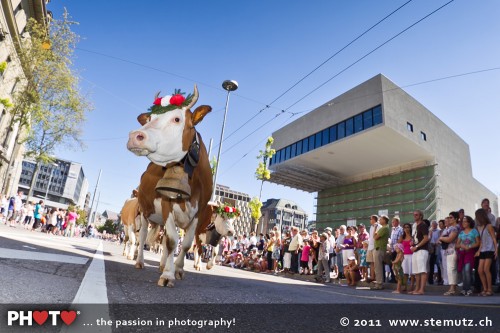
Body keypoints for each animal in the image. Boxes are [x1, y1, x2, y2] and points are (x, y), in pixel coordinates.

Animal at [128, 85, 216, 286]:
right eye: (150, 118)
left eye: (177, 119)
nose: (135, 136)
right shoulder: (167, 202)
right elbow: (172, 241)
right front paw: (168, 275)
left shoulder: (198, 212)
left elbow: (186, 244)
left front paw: (178, 269)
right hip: (144, 213)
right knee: (142, 237)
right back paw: (140, 262)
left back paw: (162, 265)